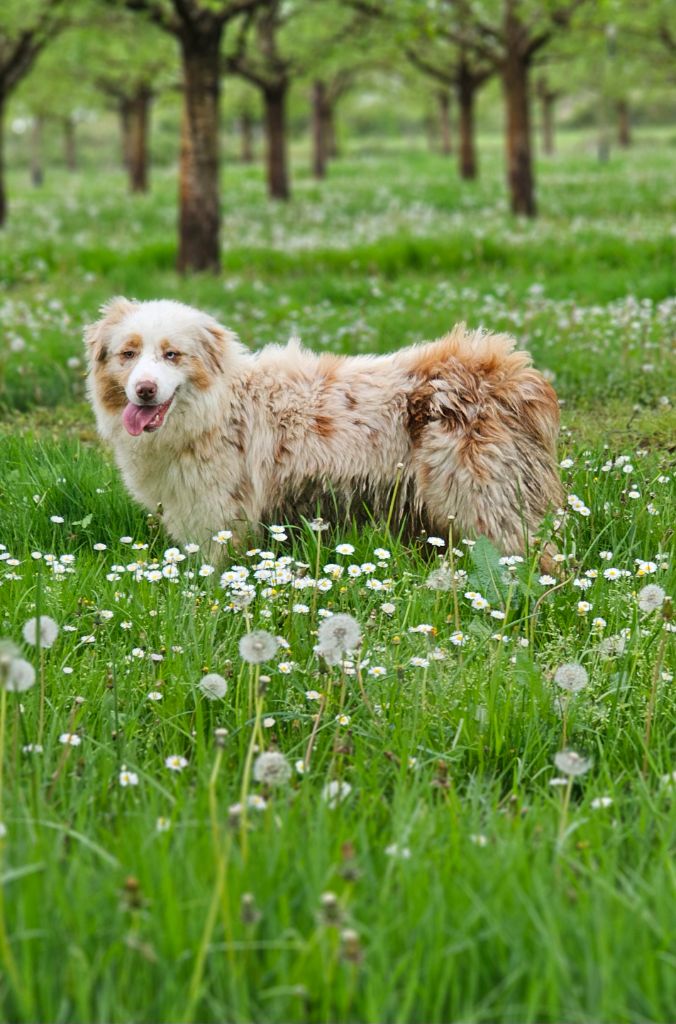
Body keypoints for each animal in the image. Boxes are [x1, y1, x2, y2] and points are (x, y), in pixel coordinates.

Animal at [86, 296, 561, 565]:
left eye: (172, 354)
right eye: (128, 353)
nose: (145, 390)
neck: (219, 405)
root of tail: (507, 372)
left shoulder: (219, 518)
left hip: (482, 502)